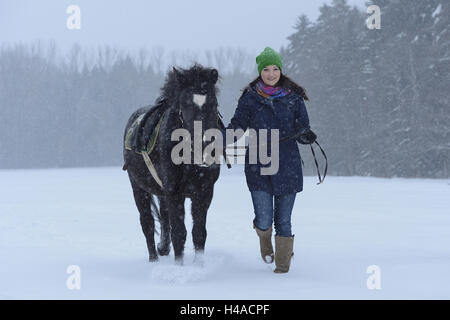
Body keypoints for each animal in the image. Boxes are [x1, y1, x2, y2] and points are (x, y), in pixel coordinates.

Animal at [122, 63, 224, 264]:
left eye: (214, 104)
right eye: (185, 104)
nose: (203, 146)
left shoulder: (204, 192)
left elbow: (199, 233)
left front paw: (198, 266)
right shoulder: (174, 192)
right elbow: (179, 232)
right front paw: (179, 266)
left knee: (163, 216)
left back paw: (162, 248)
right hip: (138, 187)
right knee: (147, 222)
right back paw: (154, 258)